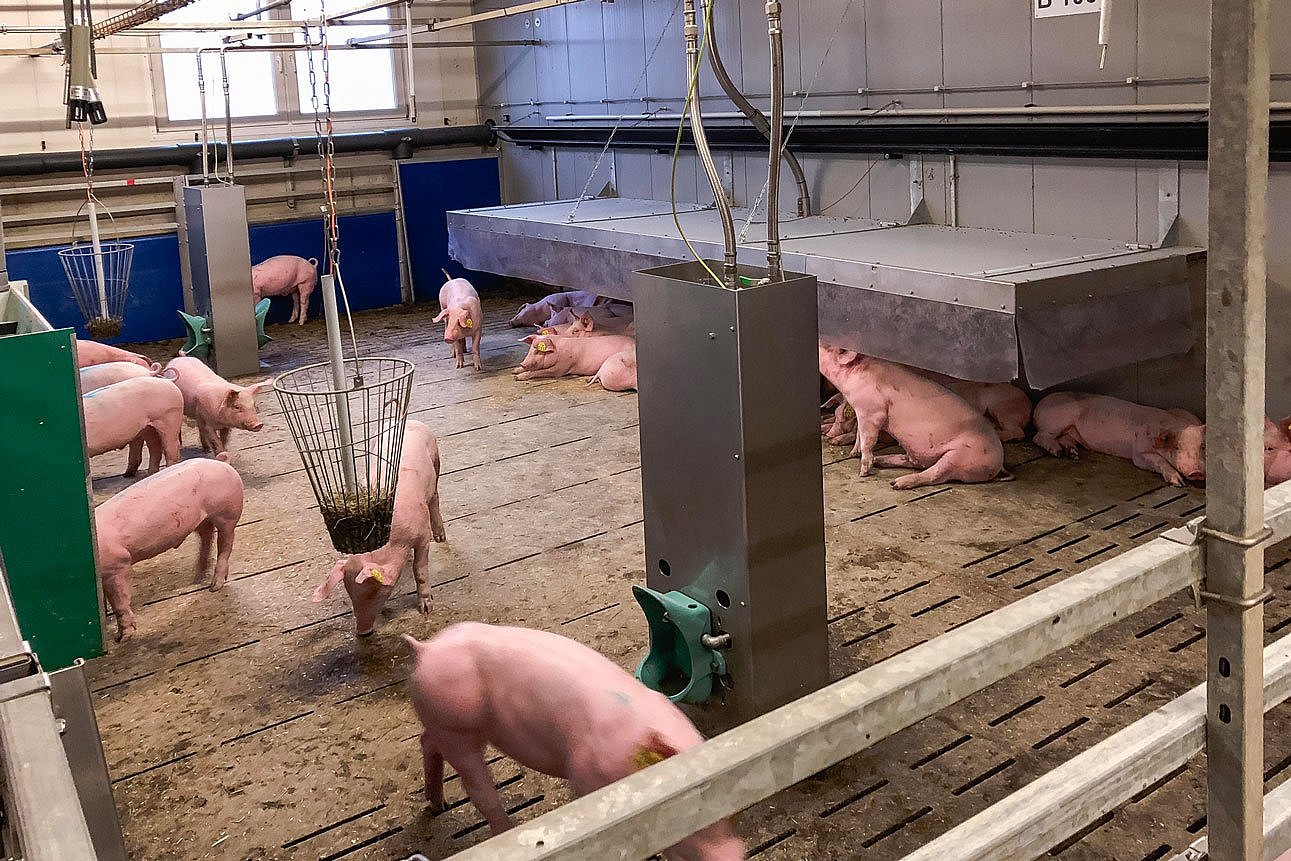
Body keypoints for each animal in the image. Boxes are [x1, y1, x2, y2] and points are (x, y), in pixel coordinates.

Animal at [93, 456, 243, 640]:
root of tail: (222, 462)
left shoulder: (118, 564)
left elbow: (120, 600)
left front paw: (123, 637)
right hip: (202, 519)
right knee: (207, 536)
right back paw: (197, 577)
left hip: (227, 513)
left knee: (225, 543)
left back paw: (214, 586)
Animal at [313, 420, 449, 637]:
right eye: (350, 594)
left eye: (375, 593)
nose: (362, 631)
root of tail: (410, 421)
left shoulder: (422, 536)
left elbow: (419, 570)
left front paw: (426, 609)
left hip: (436, 461)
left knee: (435, 496)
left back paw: (441, 537)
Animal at [402, 627, 748, 861]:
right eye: (690, 812)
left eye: (731, 810)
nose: (734, 854)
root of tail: (426, 649)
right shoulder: (583, 775)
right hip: (457, 730)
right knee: (479, 790)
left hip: (440, 724)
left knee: (426, 741)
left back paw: (438, 805)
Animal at [815, 345, 1006, 490]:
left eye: (826, 346)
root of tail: (1000, 460)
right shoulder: (860, 411)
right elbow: (859, 435)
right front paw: (853, 452)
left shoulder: (873, 411)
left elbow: (868, 439)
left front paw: (862, 472)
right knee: (915, 462)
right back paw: (881, 461)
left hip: (963, 456)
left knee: (935, 474)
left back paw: (896, 483)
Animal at [1027, 395, 1208, 487]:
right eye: (1177, 448)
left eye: (1203, 446)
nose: (1196, 472)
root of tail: (1038, 406)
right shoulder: (1139, 450)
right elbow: (1152, 461)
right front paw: (1179, 483)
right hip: (1058, 420)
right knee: (1039, 436)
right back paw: (1057, 452)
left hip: (1070, 428)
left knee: (1065, 437)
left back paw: (1073, 454)